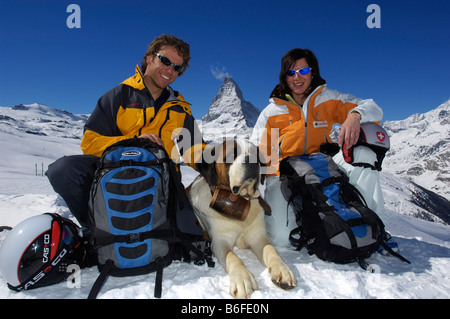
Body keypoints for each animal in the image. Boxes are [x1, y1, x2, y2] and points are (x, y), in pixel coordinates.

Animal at [188, 140, 298, 300]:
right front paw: (243, 279)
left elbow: (271, 250)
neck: (241, 200)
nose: (251, 160)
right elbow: (232, 257)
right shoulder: (219, 242)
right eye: (231, 154)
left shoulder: (258, 236)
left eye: (256, 154)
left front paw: (283, 270)